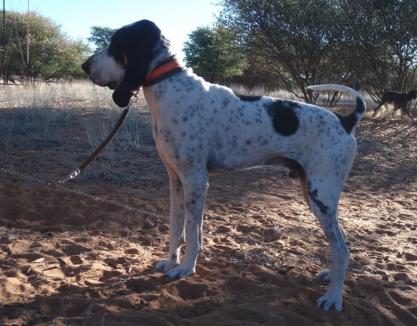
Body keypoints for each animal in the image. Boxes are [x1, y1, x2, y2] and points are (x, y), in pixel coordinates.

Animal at [80, 19, 364, 310]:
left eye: (115, 43)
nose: (85, 65)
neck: (170, 86)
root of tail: (346, 120)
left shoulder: (196, 180)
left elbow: (192, 232)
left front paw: (185, 269)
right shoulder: (176, 180)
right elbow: (176, 226)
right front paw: (171, 261)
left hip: (322, 197)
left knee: (343, 248)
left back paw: (333, 296)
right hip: (310, 190)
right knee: (340, 244)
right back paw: (330, 276)